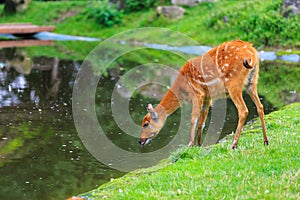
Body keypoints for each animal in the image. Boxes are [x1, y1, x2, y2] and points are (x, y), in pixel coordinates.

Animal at [139, 39, 268, 148]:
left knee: (243, 110)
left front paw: (190, 145)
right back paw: (265, 141)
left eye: (145, 124)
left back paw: (233, 144)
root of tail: (252, 53)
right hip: (252, 81)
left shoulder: (197, 94)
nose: (140, 141)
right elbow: (202, 122)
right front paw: (198, 144)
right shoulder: (207, 98)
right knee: (260, 107)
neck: (181, 89)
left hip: (233, 83)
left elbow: (193, 119)